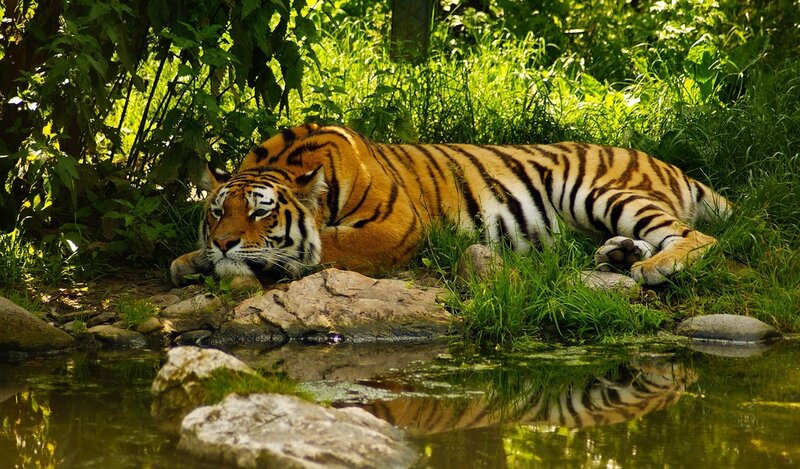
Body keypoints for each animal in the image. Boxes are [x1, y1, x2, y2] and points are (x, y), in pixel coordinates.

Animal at [170, 124, 731, 287]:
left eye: (261, 212)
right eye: (217, 211)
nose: (225, 242)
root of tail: (666, 163)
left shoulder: (396, 226)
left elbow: (325, 245)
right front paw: (191, 260)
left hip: (598, 191)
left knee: (697, 236)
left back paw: (654, 267)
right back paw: (619, 255)